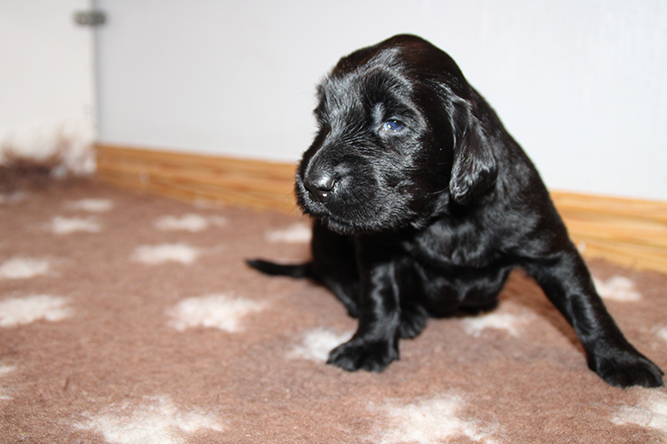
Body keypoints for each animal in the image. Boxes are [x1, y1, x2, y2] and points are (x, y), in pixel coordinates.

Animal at [248, 35, 663, 388]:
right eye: (323, 119)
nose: (313, 183)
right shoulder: (376, 249)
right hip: (326, 238)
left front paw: (623, 359)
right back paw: (407, 315)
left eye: (394, 123)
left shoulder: (550, 248)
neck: (443, 218)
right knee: (342, 283)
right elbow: (377, 296)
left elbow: (588, 303)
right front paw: (369, 345)